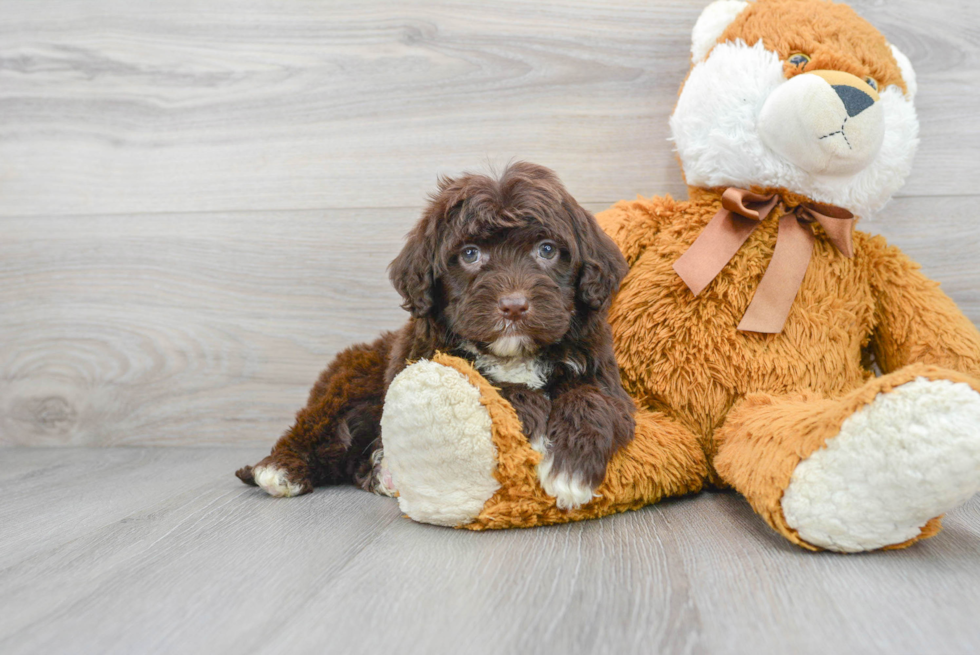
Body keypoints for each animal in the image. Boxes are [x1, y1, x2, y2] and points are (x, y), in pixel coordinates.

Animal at [237, 161, 636, 510]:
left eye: (547, 250)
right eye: (470, 254)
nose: (513, 306)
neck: (513, 354)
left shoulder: (603, 374)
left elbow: (592, 399)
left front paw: (571, 470)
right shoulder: (424, 360)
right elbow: (490, 383)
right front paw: (534, 421)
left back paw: (381, 474)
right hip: (347, 384)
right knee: (315, 430)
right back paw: (281, 469)